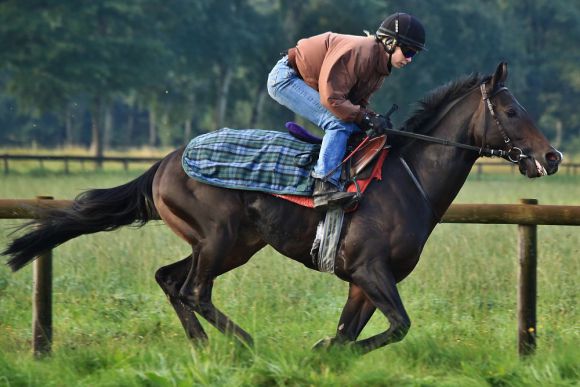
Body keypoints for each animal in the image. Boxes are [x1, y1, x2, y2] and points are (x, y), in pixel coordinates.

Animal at [1, 63, 560, 354]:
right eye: (513, 111)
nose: (552, 157)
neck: (410, 180)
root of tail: (163, 163)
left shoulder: (362, 280)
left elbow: (352, 332)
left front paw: (326, 355)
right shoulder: (370, 269)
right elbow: (397, 326)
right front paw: (320, 352)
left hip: (230, 245)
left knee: (170, 280)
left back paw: (204, 347)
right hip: (219, 237)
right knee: (193, 290)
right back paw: (246, 345)